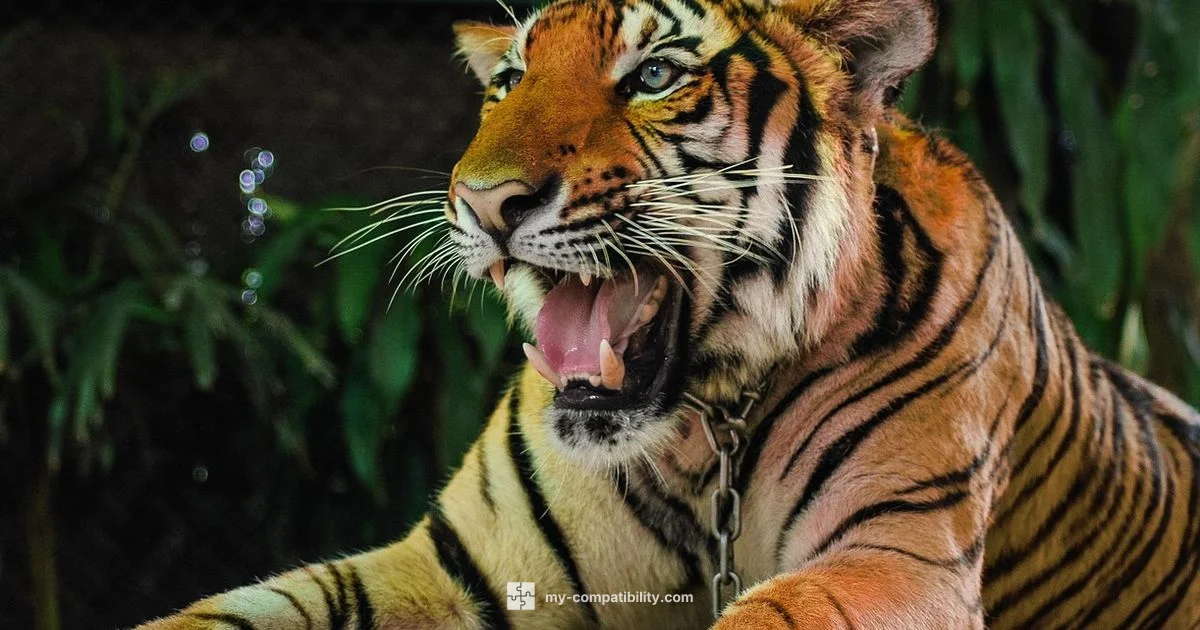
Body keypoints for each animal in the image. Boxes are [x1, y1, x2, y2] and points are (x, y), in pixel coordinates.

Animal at [139, 0, 1200, 628]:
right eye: (508, 81)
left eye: (653, 76)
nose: (483, 202)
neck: (706, 424)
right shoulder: (457, 565)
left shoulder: (899, 556)